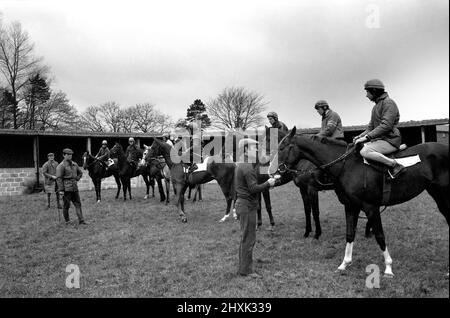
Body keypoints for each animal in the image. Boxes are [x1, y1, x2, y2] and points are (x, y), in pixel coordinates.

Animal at [276, 126, 448, 276]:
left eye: (281, 148)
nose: (277, 171)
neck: (347, 166)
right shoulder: (350, 206)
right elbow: (349, 234)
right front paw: (344, 264)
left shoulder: (371, 207)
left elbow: (380, 235)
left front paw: (388, 268)